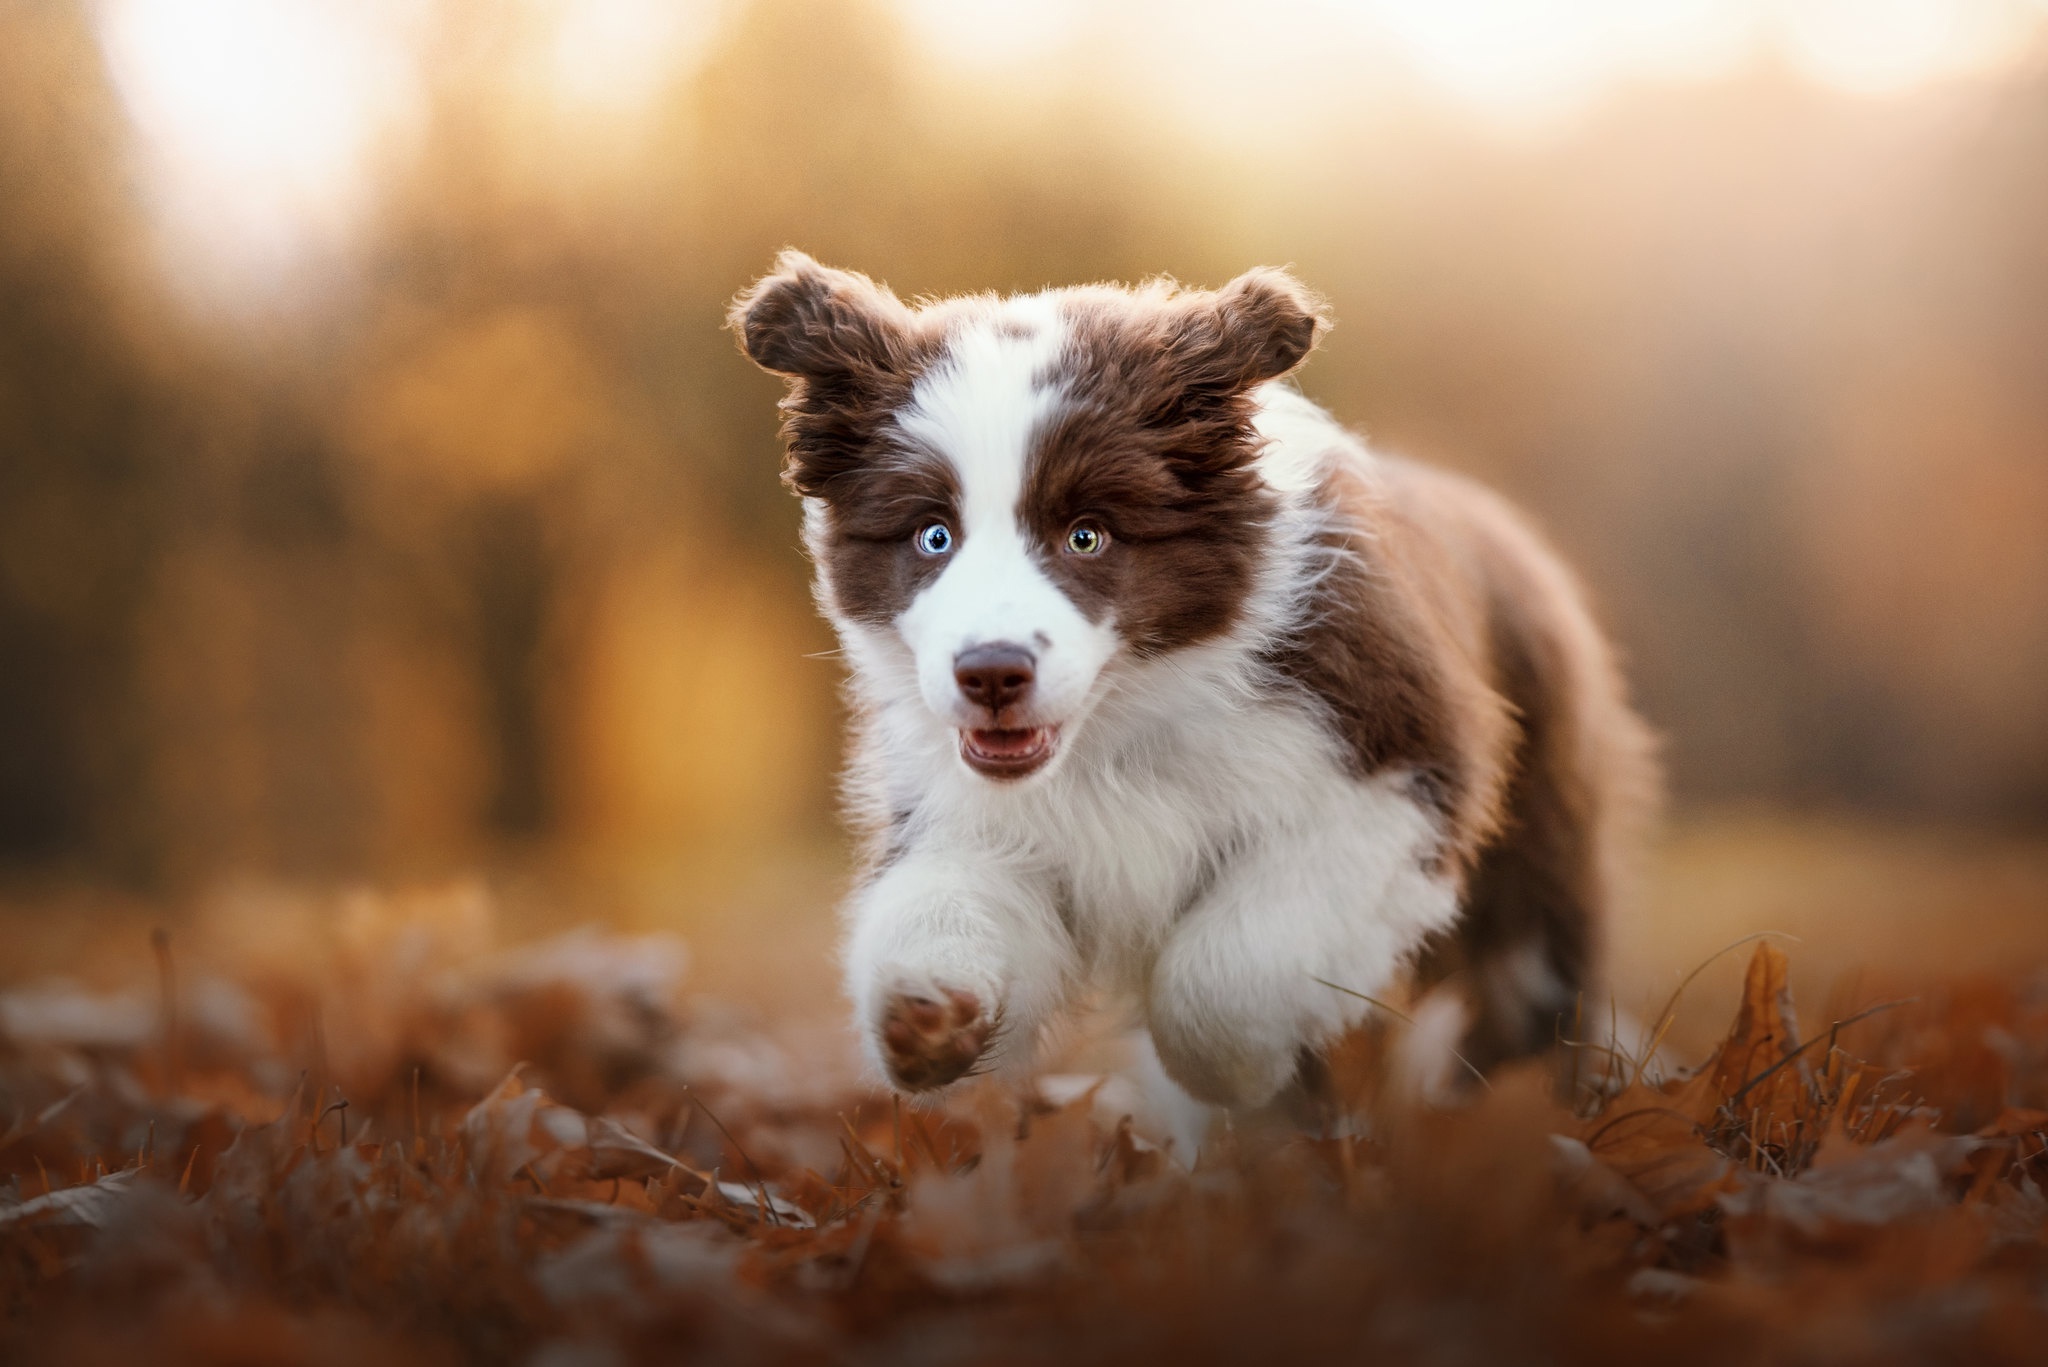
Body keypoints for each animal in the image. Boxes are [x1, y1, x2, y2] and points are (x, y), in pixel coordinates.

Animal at [729, 254, 1654, 1114]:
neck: (1125, 721)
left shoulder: (1388, 774)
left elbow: (1225, 975)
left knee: (1526, 990)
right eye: (932, 535)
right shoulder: (976, 811)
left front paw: (1238, 1076)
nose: (991, 671)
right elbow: (944, 899)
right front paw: (925, 1016)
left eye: (1088, 535)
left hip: (1537, 851)